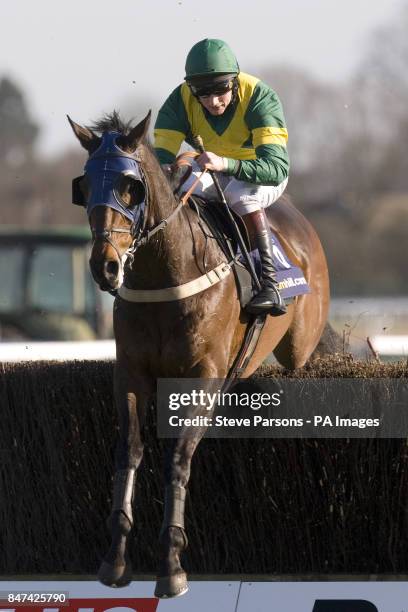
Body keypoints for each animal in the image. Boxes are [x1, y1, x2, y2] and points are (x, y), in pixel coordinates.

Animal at [68, 110, 332, 596]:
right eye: (85, 185)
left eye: (130, 187)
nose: (105, 266)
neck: (165, 273)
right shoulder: (131, 372)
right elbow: (128, 450)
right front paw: (115, 558)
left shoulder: (202, 374)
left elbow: (177, 457)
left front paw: (171, 564)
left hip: (301, 350)